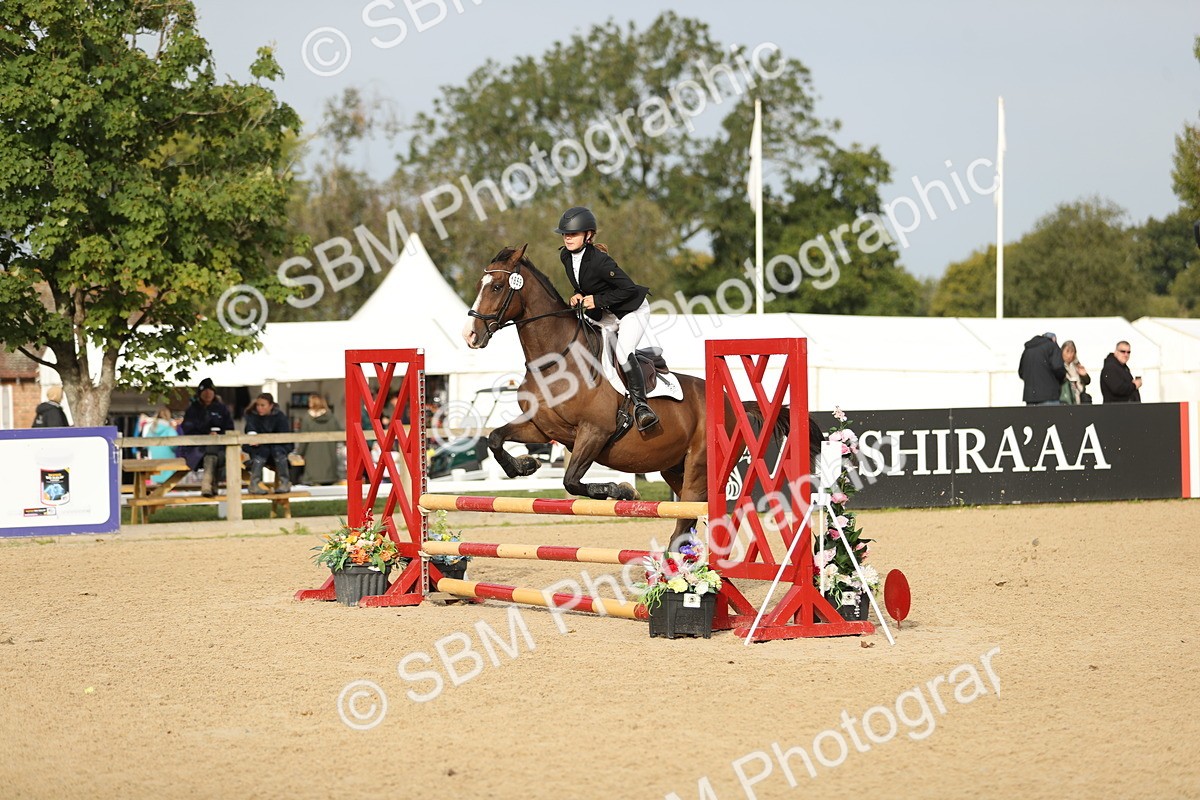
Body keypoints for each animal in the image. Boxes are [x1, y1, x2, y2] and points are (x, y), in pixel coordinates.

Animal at [461, 244, 818, 541]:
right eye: (481, 285)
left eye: (497, 287)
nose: (470, 336)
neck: (556, 361)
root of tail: (734, 403)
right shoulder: (541, 426)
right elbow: (495, 438)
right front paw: (524, 467)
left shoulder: (594, 431)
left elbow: (571, 481)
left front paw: (622, 491)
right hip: (673, 467)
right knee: (687, 517)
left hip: (698, 466)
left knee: (688, 515)